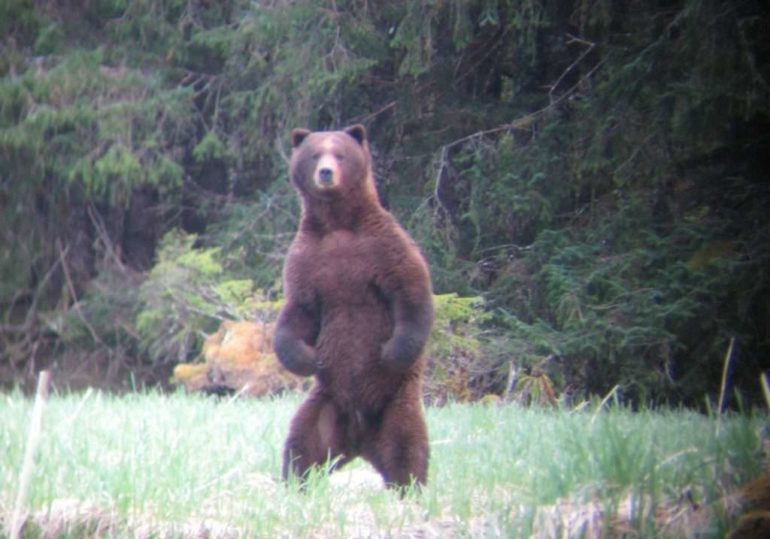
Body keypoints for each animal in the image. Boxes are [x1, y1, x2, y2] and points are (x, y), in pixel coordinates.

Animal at [274, 125, 432, 490]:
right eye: (315, 154)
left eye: (340, 153)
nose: (326, 173)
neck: (338, 223)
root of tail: (360, 443)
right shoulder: (308, 260)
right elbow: (298, 312)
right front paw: (305, 358)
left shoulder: (384, 248)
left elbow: (411, 293)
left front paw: (393, 351)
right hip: (326, 404)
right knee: (303, 442)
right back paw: (295, 481)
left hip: (396, 400)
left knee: (408, 442)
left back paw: (409, 487)